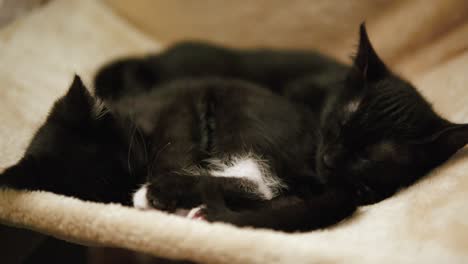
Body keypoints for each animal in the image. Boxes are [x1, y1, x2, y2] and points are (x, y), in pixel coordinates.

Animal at [1, 24, 466, 231]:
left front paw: (152, 190)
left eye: (130, 157)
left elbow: (176, 149)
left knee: (260, 183)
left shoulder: (176, 114)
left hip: (241, 119)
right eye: (101, 187)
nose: (139, 179)